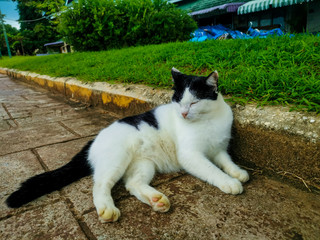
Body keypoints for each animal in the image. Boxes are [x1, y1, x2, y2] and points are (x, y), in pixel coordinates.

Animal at [5, 68, 250, 222]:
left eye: (195, 102)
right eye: (179, 101)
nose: (182, 113)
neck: (208, 120)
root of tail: (94, 140)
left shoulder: (218, 149)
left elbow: (225, 161)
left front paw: (238, 172)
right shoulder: (191, 155)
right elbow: (211, 169)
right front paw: (229, 182)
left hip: (143, 164)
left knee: (132, 184)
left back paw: (156, 200)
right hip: (117, 159)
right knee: (100, 184)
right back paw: (107, 209)